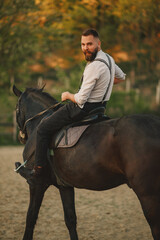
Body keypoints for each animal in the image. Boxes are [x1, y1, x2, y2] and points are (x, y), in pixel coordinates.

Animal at [12, 85, 160, 240]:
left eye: (16, 108)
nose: (21, 137)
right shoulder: (64, 186)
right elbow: (70, 219)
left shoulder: (37, 183)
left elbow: (31, 217)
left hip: (148, 194)